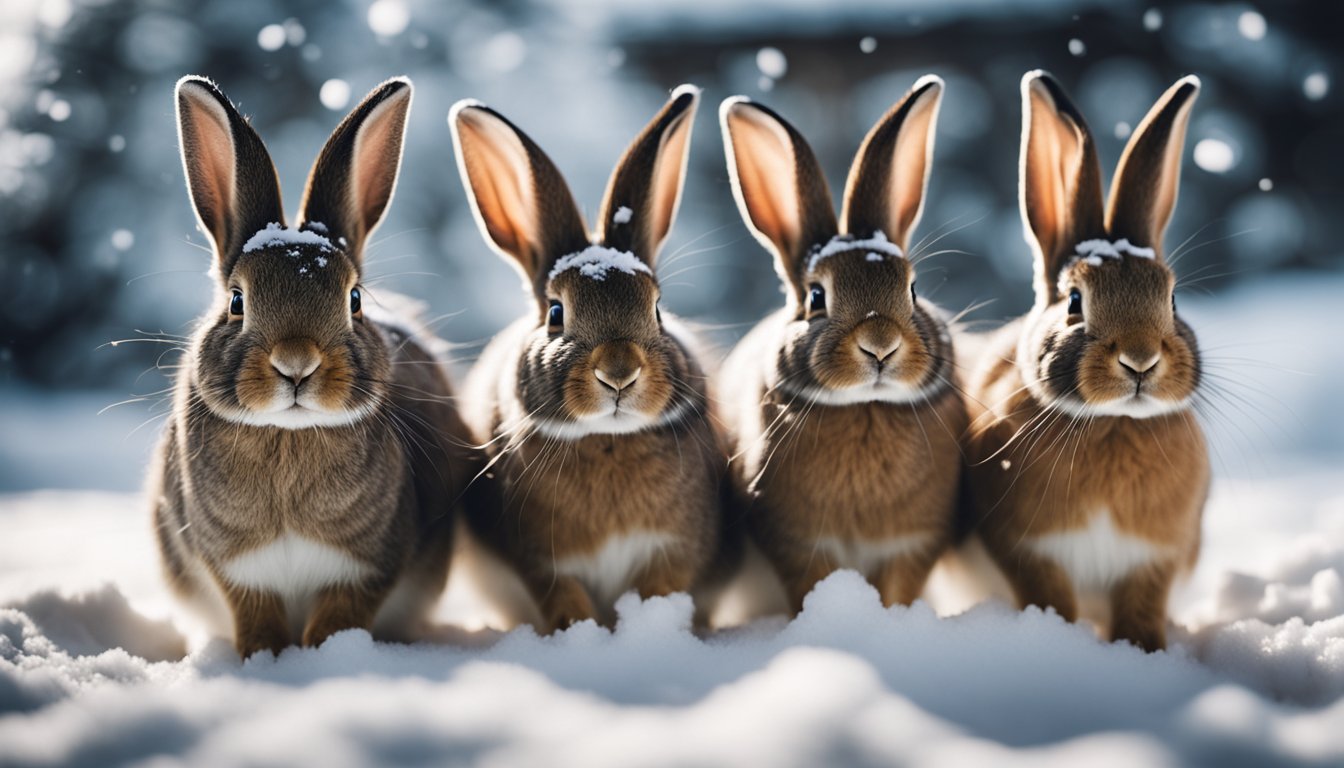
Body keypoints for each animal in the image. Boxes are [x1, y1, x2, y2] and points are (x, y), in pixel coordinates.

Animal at [151, 76, 478, 658]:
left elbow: (339, 616)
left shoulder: (365, 568)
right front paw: (263, 659)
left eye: (354, 300)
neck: (289, 432)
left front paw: (327, 656)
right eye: (237, 302)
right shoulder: (237, 571)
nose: (296, 364)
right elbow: (256, 616)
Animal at [448, 86, 728, 632]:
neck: (607, 439)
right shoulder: (543, 562)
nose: (619, 373)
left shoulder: (675, 550)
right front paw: (580, 633)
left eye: (657, 309)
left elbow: (660, 591)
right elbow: (564, 599)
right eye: (556, 313)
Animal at [716, 75, 969, 615]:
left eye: (913, 289)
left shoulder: (911, 544)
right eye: (816, 297)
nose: (880, 346)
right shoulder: (797, 545)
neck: (864, 407)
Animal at [960, 70, 1208, 652]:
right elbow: (1051, 597)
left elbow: (1142, 608)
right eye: (1075, 302)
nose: (1140, 360)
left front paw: (1145, 651)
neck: (1112, 422)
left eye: (1173, 300)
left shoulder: (1153, 561)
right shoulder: (1030, 552)